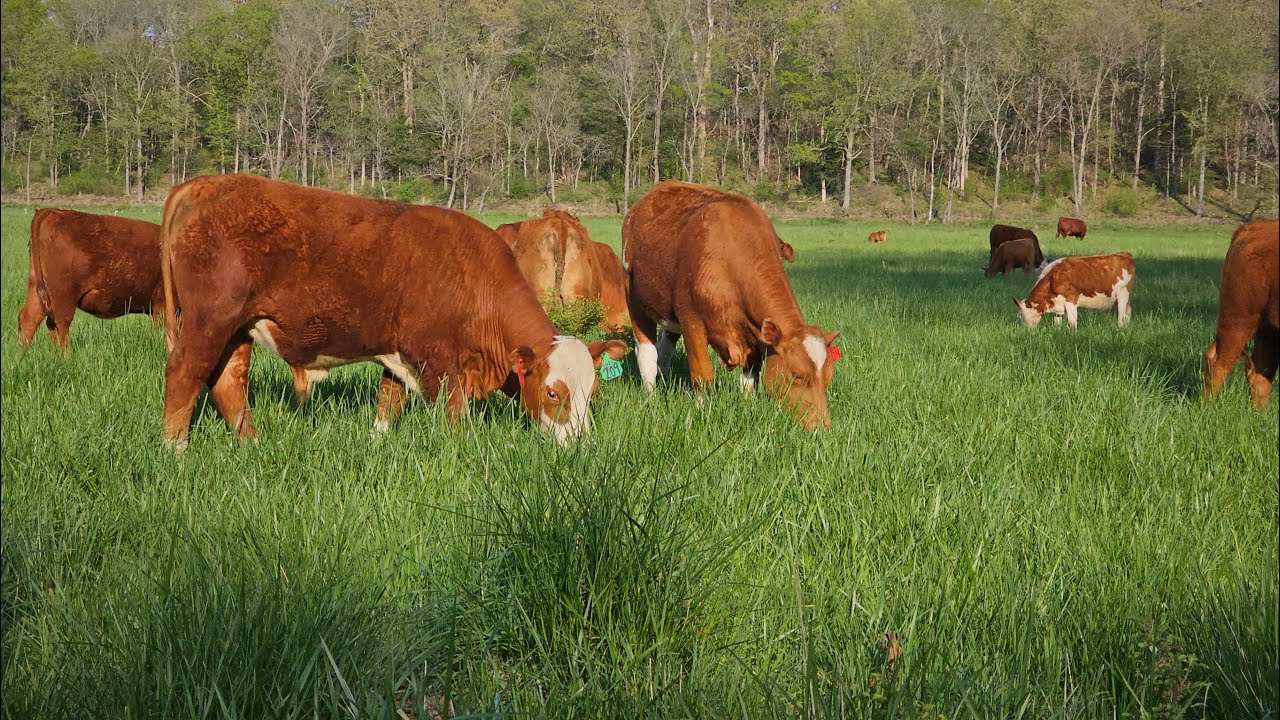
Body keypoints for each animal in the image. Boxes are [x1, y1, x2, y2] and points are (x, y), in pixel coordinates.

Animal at [158, 174, 626, 451]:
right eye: (553, 393)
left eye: (593, 391)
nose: (581, 445)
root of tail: (204, 183)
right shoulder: (438, 361)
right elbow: (454, 417)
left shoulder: (398, 353)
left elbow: (389, 401)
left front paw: (377, 443)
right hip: (209, 322)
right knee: (184, 375)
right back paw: (175, 451)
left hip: (238, 329)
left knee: (228, 383)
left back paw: (251, 444)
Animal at [623, 180, 840, 430]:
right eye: (797, 375)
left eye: (829, 376)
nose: (821, 427)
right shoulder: (691, 320)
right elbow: (702, 375)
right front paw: (702, 414)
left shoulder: (754, 335)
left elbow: (749, 380)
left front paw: (746, 411)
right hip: (635, 301)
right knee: (647, 355)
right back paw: (650, 398)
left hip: (668, 315)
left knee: (665, 349)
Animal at [1203, 219, 1279, 407]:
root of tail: (1257, 225)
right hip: (1238, 318)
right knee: (1218, 362)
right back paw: (1206, 407)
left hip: (1268, 328)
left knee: (1260, 371)